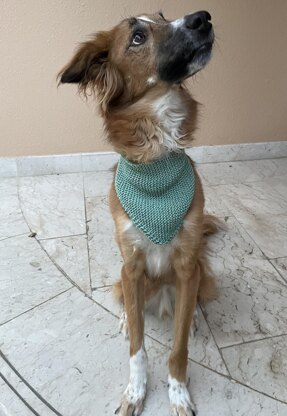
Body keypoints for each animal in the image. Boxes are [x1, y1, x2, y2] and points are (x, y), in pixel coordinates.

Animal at [59, 11, 219, 414]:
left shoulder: (186, 263)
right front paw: (136, 391)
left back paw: (193, 314)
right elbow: (138, 349)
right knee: (130, 305)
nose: (202, 17)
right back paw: (124, 318)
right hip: (124, 277)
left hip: (200, 271)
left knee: (192, 297)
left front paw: (178, 391)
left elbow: (178, 347)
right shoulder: (131, 264)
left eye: (164, 17)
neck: (156, 155)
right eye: (137, 37)